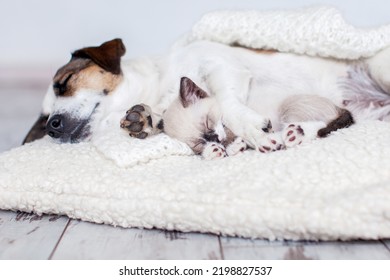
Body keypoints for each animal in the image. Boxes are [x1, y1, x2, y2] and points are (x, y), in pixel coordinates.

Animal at [161, 76, 354, 160]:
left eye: (208, 121)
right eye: (198, 143)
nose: (214, 138)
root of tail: (339, 107)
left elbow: (243, 134)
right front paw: (217, 149)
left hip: (289, 107)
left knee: (319, 125)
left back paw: (290, 135)